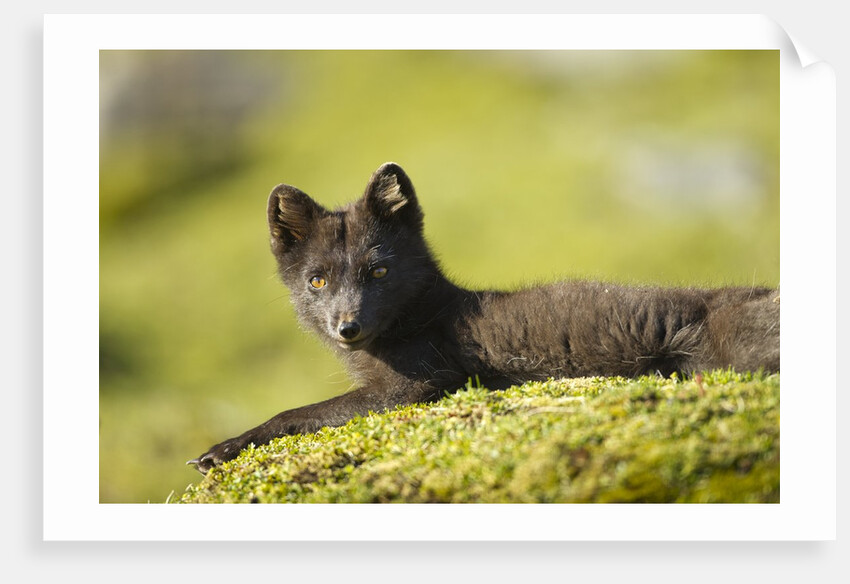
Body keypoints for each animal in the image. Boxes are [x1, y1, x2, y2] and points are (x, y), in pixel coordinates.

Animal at [188, 162, 780, 474]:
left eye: (378, 270)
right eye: (317, 281)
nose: (347, 327)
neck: (420, 317)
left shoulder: (415, 384)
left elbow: (296, 411)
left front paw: (222, 448)